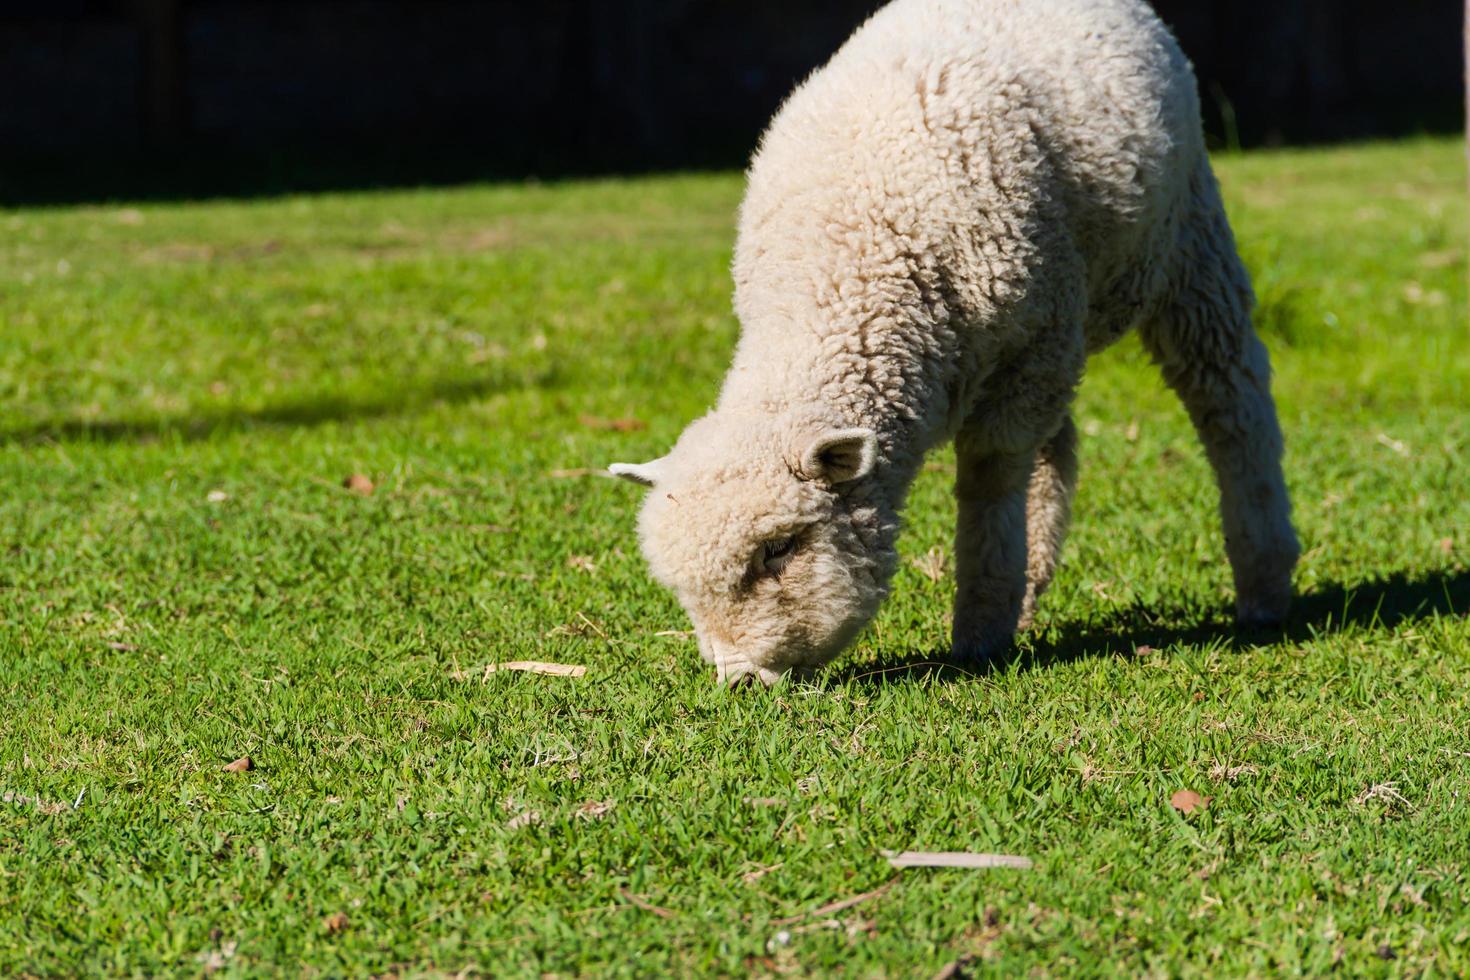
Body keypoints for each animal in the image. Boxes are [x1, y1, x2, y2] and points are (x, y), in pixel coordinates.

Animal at [608, 0, 1299, 687]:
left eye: (779, 550)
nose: (740, 681)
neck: (846, 268)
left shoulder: (1032, 345)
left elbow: (991, 483)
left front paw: (979, 631)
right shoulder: (1034, 350)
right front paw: (1003, 606)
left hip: (1187, 237)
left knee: (1229, 397)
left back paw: (1265, 582)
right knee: (1059, 448)